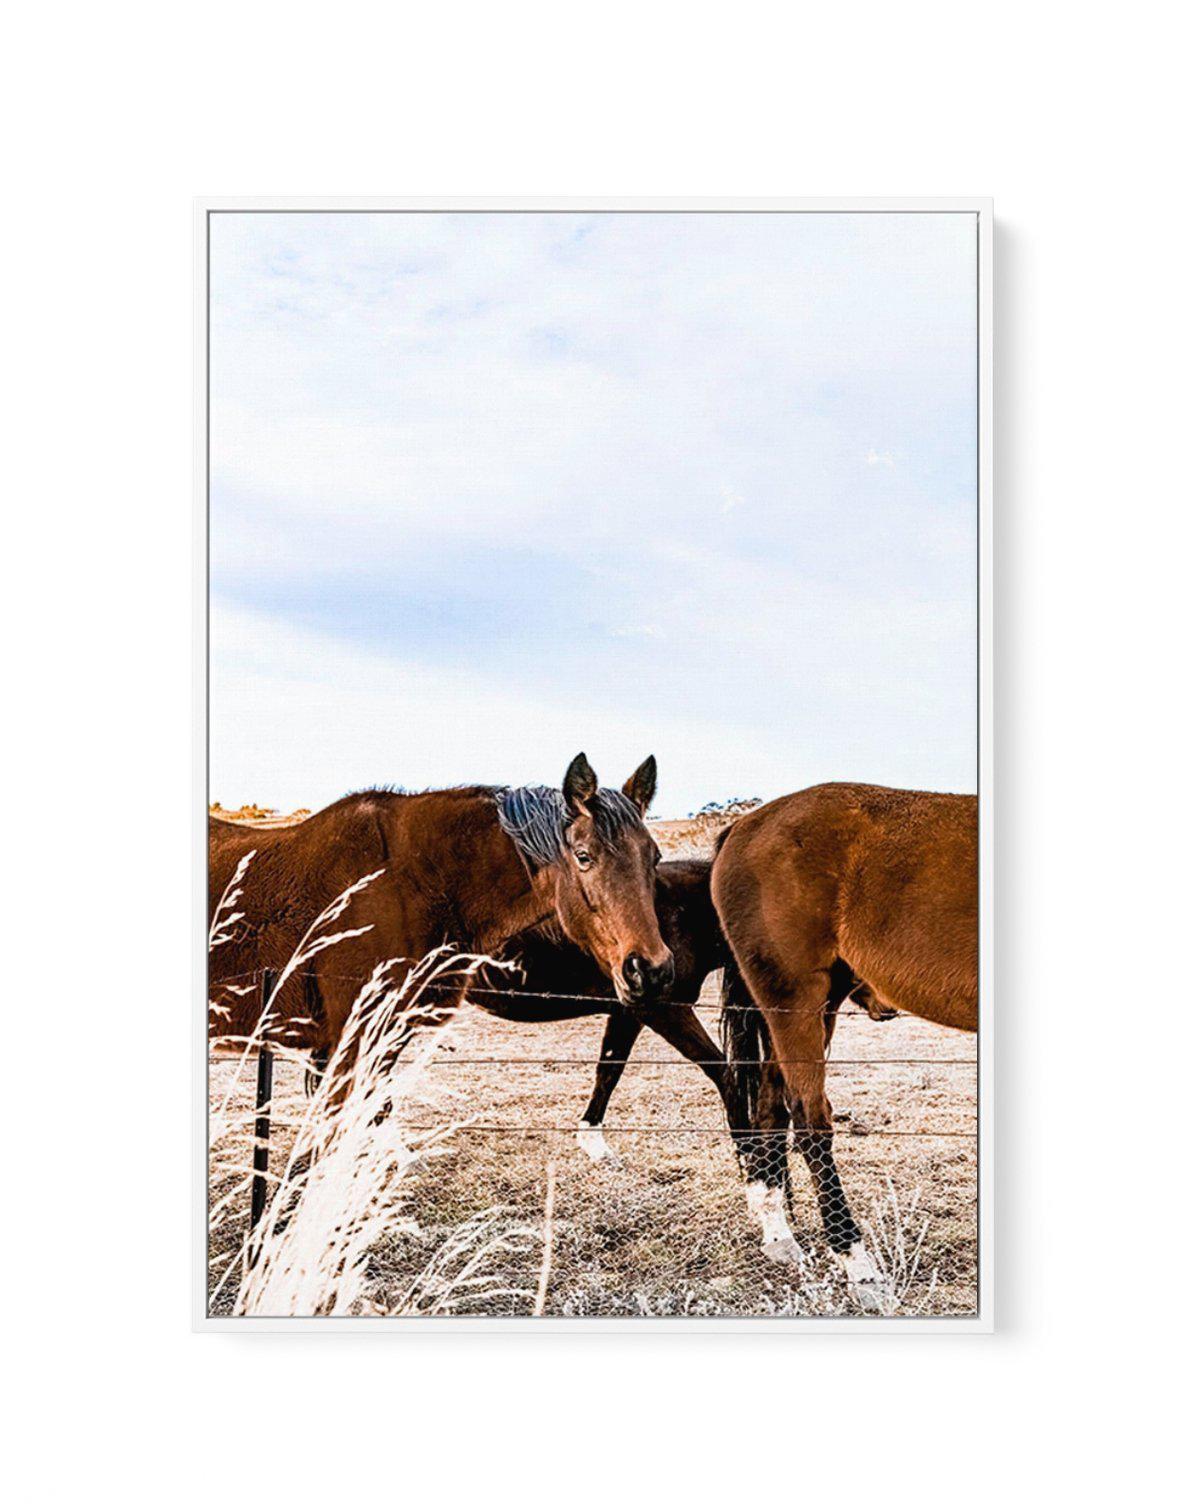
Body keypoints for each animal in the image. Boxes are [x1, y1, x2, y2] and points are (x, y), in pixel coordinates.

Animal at [710, 780, 973, 1300]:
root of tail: (744, 825)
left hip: (810, 1007)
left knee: (771, 1108)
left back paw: (780, 1236)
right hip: (797, 1001)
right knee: (810, 1121)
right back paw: (857, 1262)